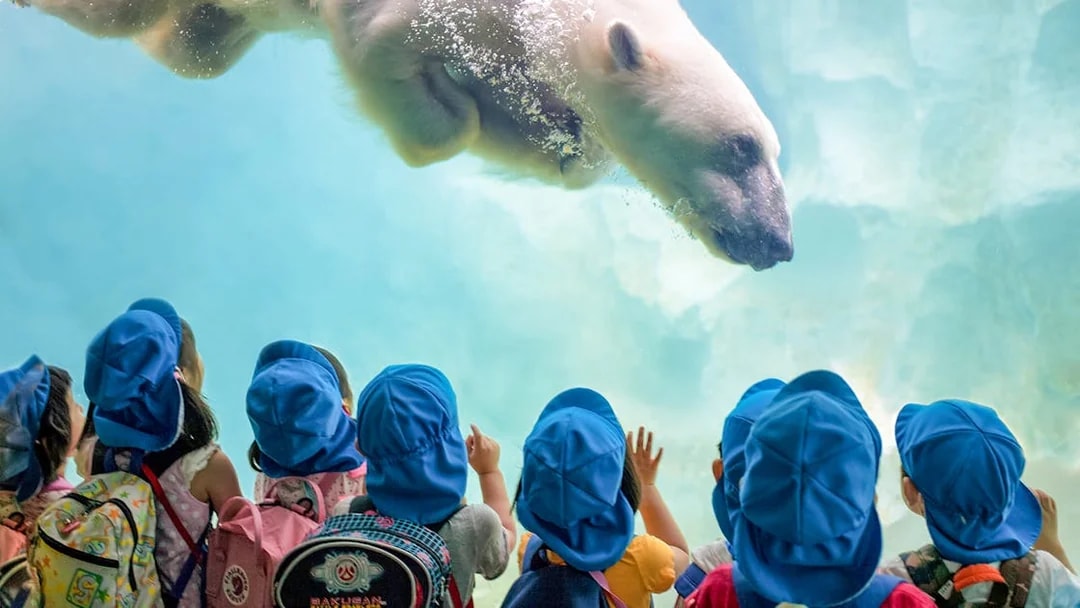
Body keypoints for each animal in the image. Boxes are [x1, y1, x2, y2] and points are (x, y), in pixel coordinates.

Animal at [12, 0, 794, 270]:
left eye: (771, 150)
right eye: (740, 147)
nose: (780, 244)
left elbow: (567, 149)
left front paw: (545, 134)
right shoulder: (425, 11)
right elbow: (387, 53)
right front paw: (445, 111)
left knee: (193, 47)